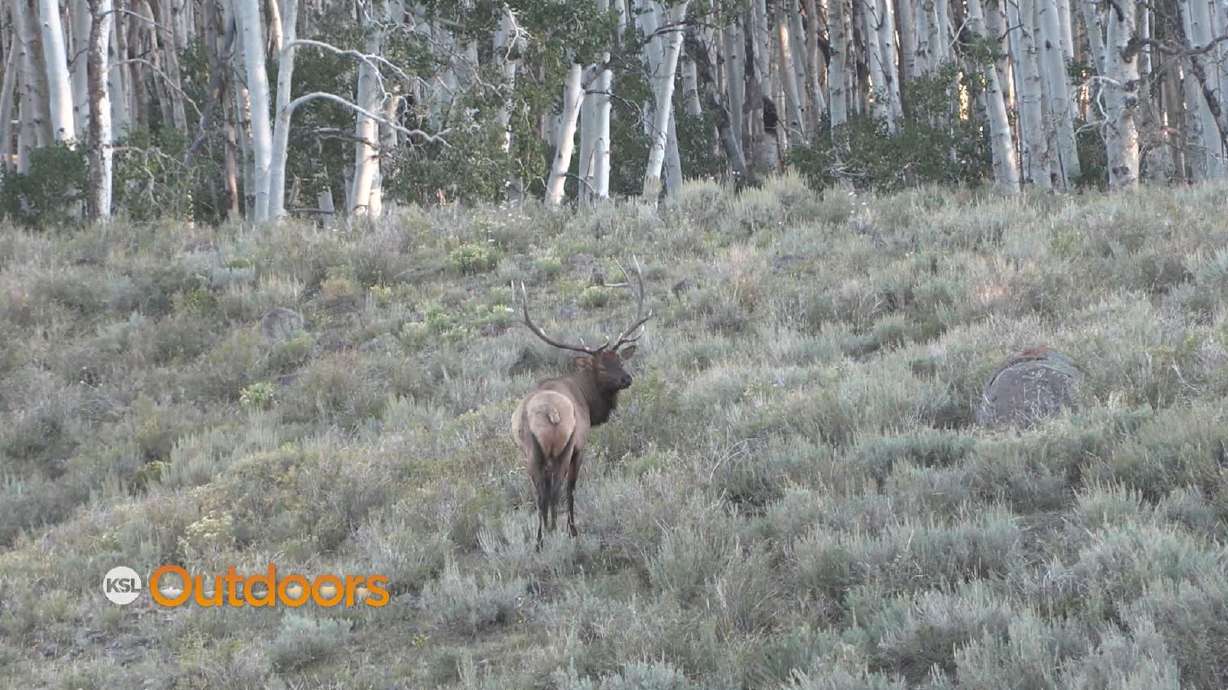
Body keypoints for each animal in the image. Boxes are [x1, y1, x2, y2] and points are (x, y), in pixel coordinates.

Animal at [511, 260, 651, 550]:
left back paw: (540, 540)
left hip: (531, 452)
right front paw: (572, 531)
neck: (588, 399)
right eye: (601, 366)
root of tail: (548, 412)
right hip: (564, 447)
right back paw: (561, 533)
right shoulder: (581, 444)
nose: (627, 378)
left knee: (540, 492)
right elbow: (572, 488)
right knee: (557, 488)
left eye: (620, 359)